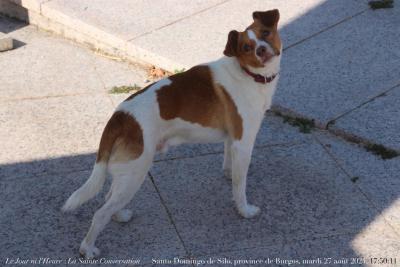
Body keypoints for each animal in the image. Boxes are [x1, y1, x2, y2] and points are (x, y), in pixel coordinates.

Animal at [61, 9, 282, 258]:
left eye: (266, 33)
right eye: (246, 47)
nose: (260, 49)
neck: (248, 74)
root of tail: (119, 117)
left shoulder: (232, 137)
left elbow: (230, 165)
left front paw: (228, 173)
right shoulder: (244, 142)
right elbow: (240, 185)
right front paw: (244, 210)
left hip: (126, 175)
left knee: (109, 200)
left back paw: (120, 215)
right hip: (135, 173)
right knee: (100, 213)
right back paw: (88, 248)